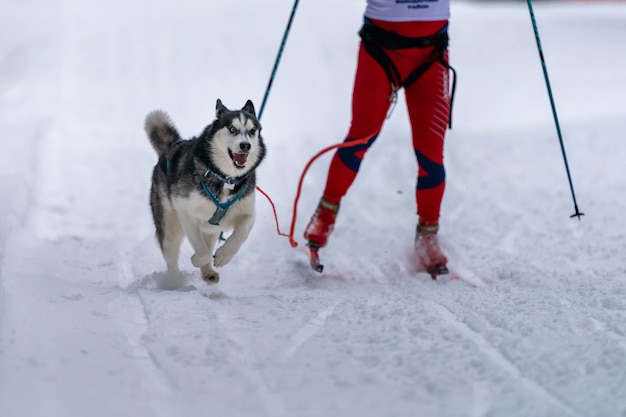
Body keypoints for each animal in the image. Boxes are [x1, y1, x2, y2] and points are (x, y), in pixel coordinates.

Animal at [146, 100, 266, 282]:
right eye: (232, 129)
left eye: (252, 131)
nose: (246, 145)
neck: (225, 178)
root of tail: (170, 148)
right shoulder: (186, 211)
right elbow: (202, 250)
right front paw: (197, 259)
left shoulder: (247, 212)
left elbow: (241, 233)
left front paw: (224, 255)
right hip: (170, 224)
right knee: (171, 251)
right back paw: (175, 280)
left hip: (211, 228)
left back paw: (208, 272)